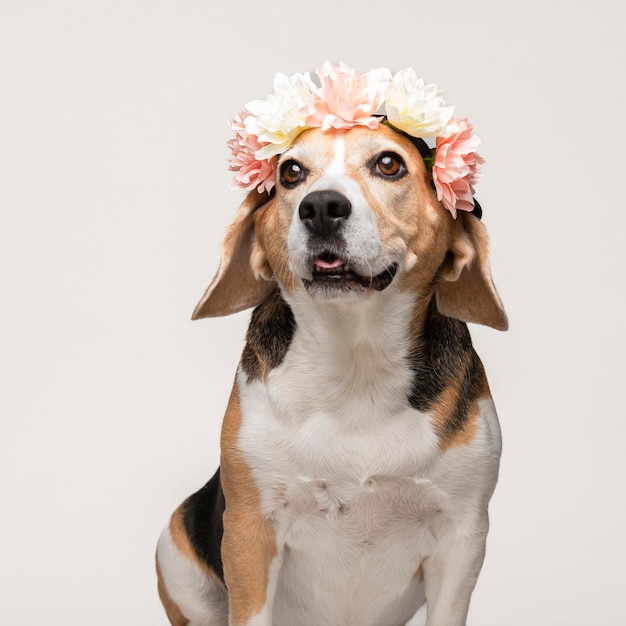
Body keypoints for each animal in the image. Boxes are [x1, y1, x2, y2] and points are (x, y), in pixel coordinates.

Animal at [156, 123, 508, 624]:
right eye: (290, 172)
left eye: (388, 164)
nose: (320, 207)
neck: (356, 362)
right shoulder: (248, 530)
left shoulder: (463, 537)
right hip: (175, 553)